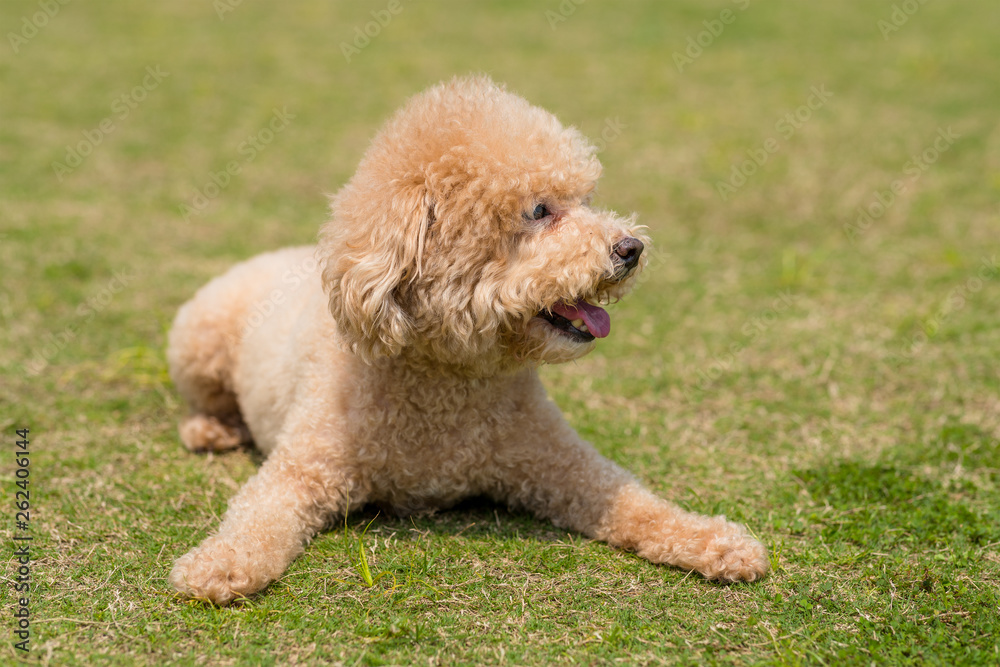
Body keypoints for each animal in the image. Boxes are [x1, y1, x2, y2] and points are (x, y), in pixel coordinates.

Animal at [168, 74, 768, 604]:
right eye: (539, 211)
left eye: (586, 199)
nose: (631, 248)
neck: (451, 376)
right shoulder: (303, 468)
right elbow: (256, 515)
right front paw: (217, 564)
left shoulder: (560, 463)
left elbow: (637, 502)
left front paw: (718, 542)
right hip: (196, 339)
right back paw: (210, 430)